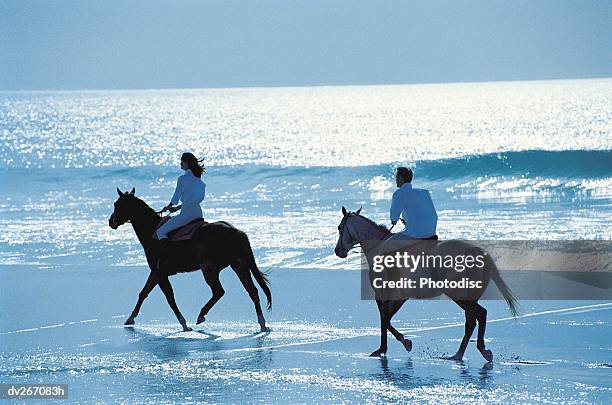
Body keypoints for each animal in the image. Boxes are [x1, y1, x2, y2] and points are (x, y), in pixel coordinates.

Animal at [109, 186, 272, 332]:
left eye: (117, 205)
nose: (111, 222)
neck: (152, 231)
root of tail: (236, 232)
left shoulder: (159, 273)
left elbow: (169, 298)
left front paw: (184, 324)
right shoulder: (156, 273)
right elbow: (143, 293)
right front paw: (130, 319)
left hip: (210, 270)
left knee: (219, 291)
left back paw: (201, 316)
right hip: (238, 265)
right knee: (251, 291)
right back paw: (262, 324)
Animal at [332, 207, 520, 362]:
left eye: (340, 228)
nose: (337, 251)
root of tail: (479, 253)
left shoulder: (382, 295)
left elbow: (384, 320)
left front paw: (391, 346)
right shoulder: (401, 297)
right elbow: (387, 319)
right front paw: (399, 343)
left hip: (458, 294)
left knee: (480, 314)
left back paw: (478, 351)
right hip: (468, 296)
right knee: (472, 321)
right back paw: (459, 354)